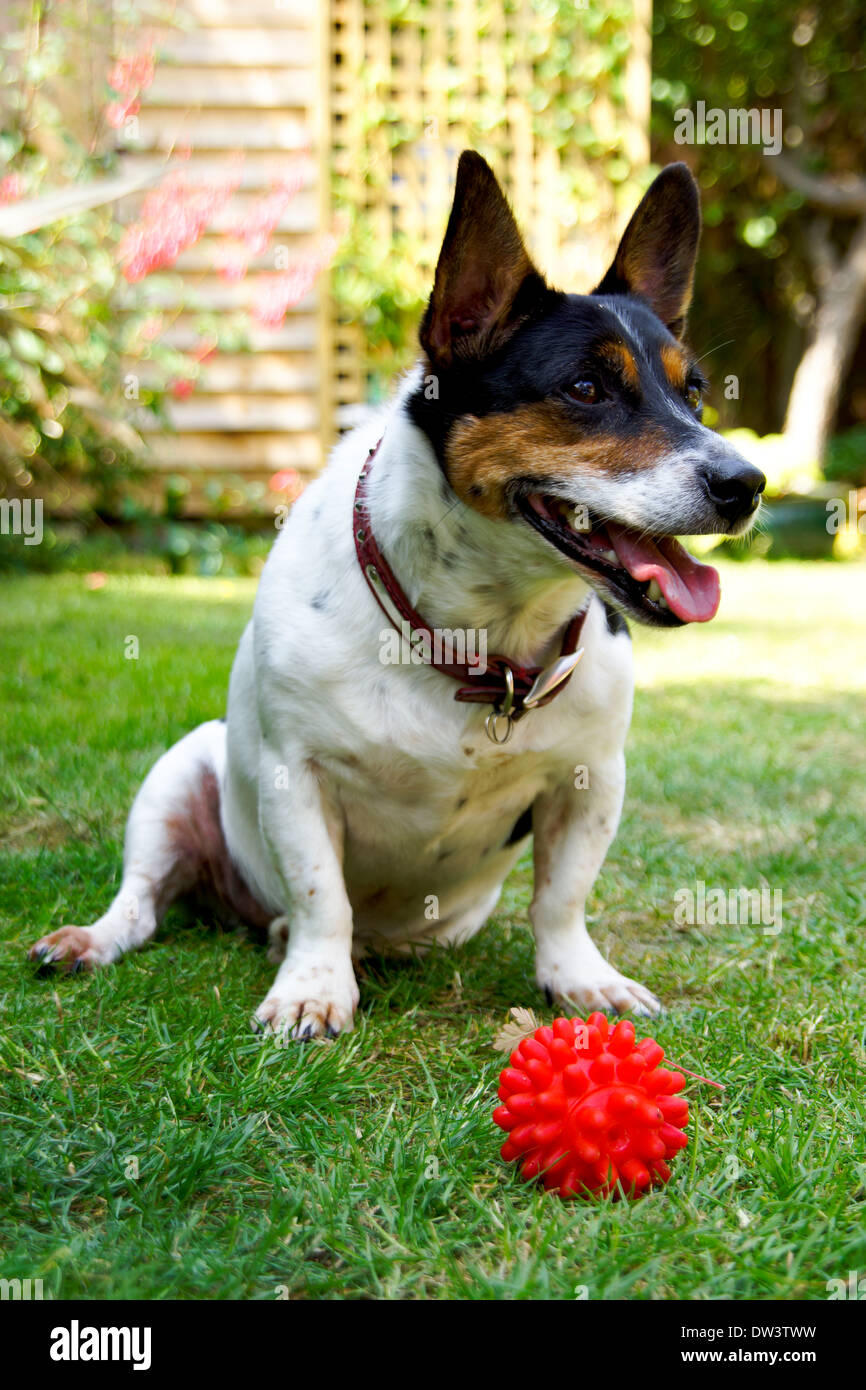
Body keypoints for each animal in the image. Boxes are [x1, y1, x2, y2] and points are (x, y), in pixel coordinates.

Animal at [30, 157, 767, 1039]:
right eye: (586, 387)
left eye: (694, 394)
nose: (747, 484)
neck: (481, 637)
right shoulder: (296, 775)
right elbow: (320, 894)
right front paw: (313, 987)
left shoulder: (590, 782)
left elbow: (561, 899)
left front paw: (580, 978)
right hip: (177, 777)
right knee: (144, 900)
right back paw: (100, 939)